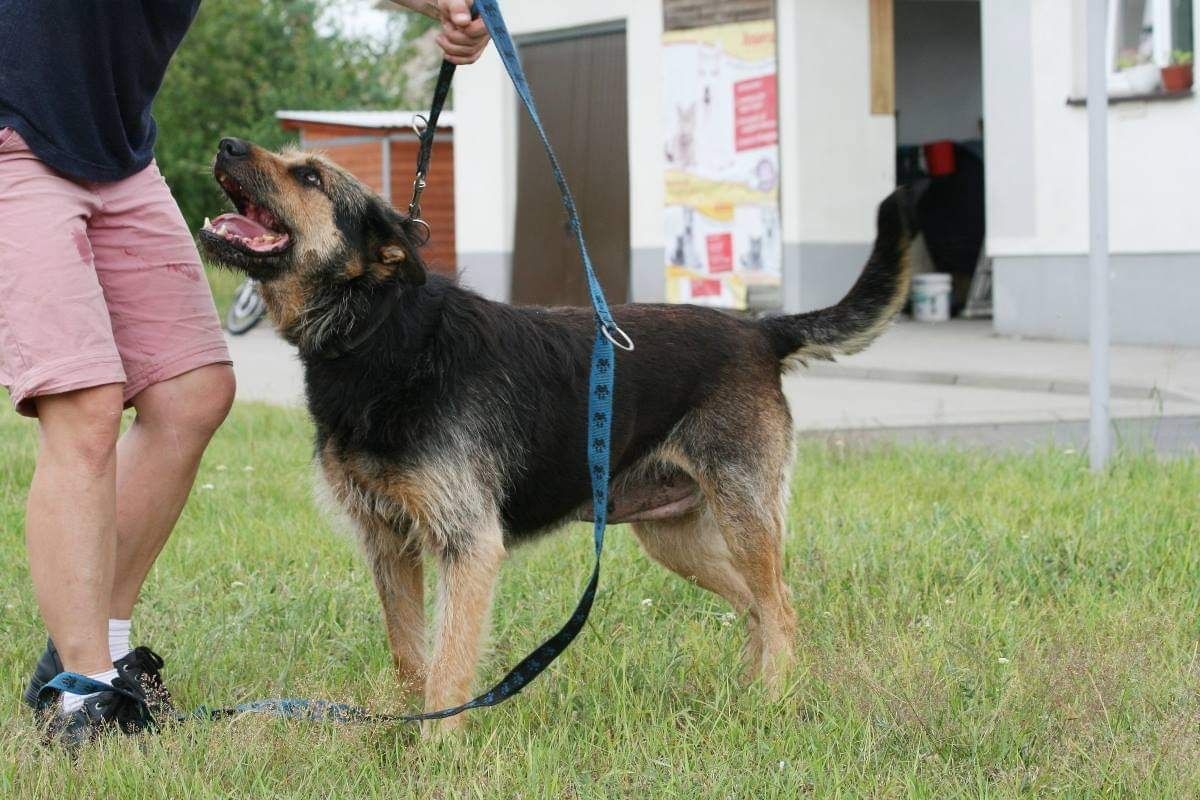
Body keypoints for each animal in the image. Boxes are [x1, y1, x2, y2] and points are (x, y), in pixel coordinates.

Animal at [196, 136, 912, 734]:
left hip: (743, 513)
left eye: (310, 176)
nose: (227, 144)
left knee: (780, 605)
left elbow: (448, 669)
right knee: (757, 608)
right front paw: (398, 730)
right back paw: (747, 691)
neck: (377, 330)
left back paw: (771, 701)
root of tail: (760, 332)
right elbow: (410, 657)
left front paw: (435, 755)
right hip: (675, 537)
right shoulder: (388, 543)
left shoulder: (467, 545)